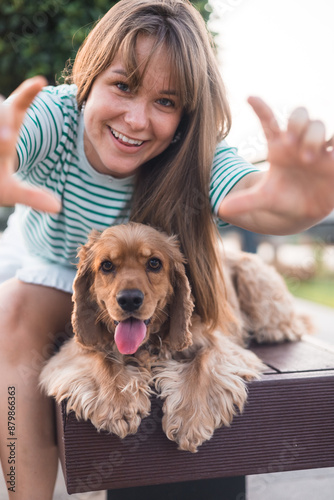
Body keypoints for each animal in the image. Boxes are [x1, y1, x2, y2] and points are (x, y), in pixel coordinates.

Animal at [39, 223, 310, 454]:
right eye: (106, 266)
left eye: (154, 263)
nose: (129, 299)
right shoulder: (75, 349)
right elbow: (102, 361)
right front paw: (118, 405)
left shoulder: (220, 344)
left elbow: (203, 364)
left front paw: (190, 419)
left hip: (255, 279)